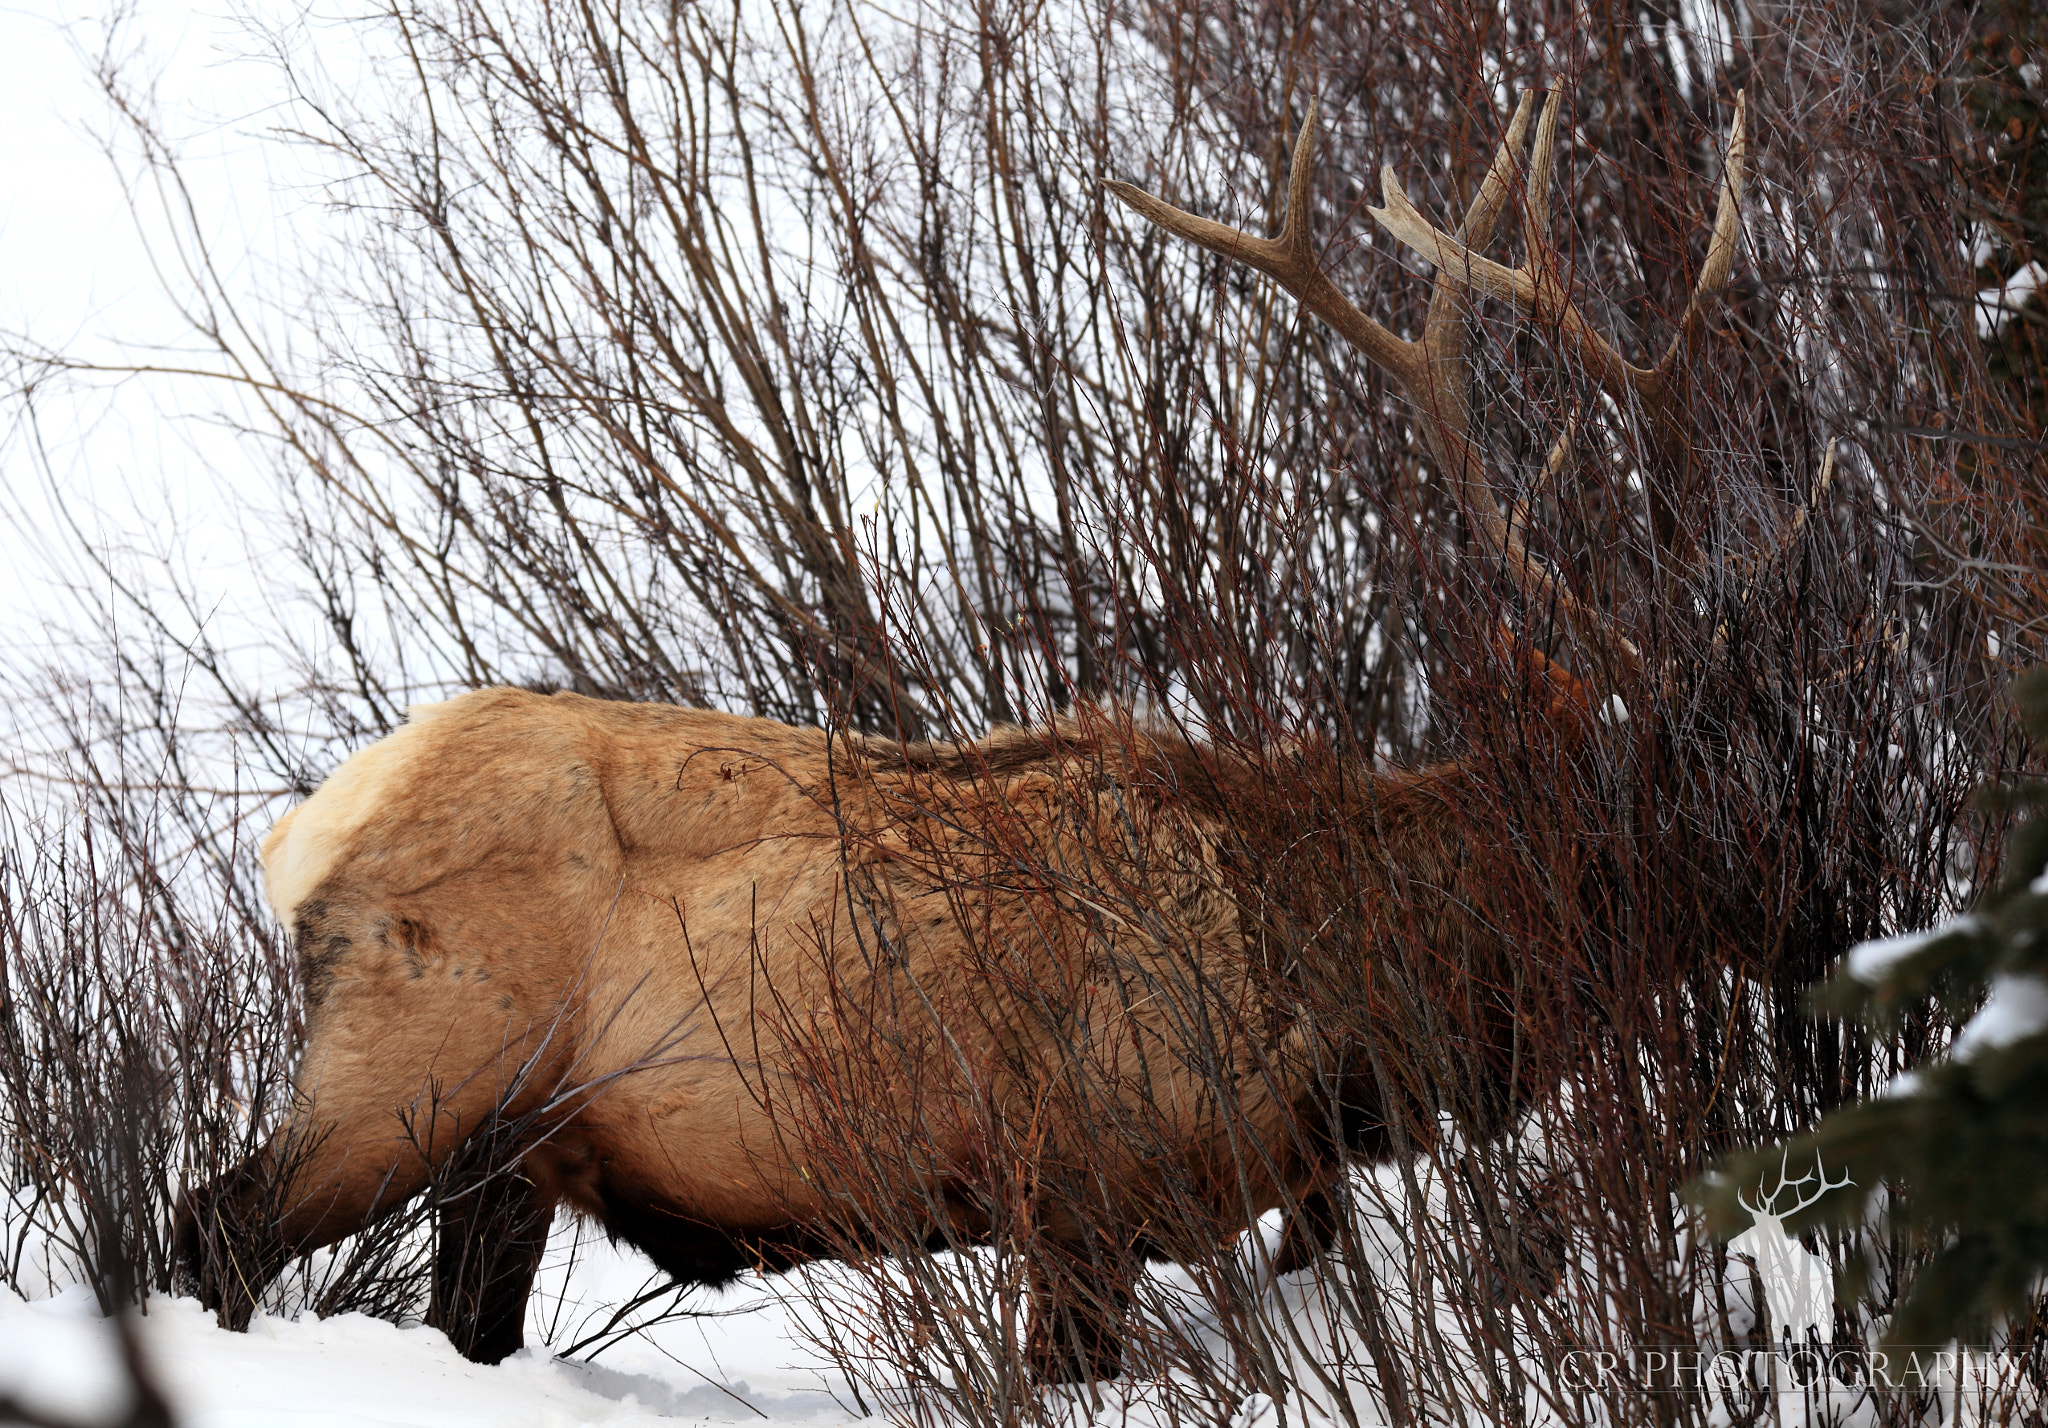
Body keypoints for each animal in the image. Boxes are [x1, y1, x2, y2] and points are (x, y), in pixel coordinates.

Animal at [174, 86, 1748, 1382]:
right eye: (1666, 797)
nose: (1785, 905)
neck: (1343, 1009)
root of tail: (300, 832)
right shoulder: (1082, 1188)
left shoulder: (1265, 1189)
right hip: (408, 1073)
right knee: (210, 1228)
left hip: (504, 1155)